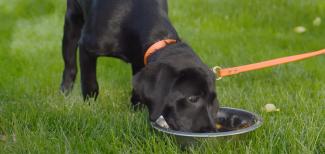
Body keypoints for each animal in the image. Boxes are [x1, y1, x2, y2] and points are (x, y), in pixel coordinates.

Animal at [60, 0, 218, 132]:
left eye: (213, 101)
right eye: (192, 99)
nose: (210, 131)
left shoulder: (140, 60)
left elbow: (137, 92)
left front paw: (134, 114)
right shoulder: (87, 47)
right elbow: (90, 85)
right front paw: (90, 109)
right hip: (72, 19)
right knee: (70, 64)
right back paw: (64, 92)